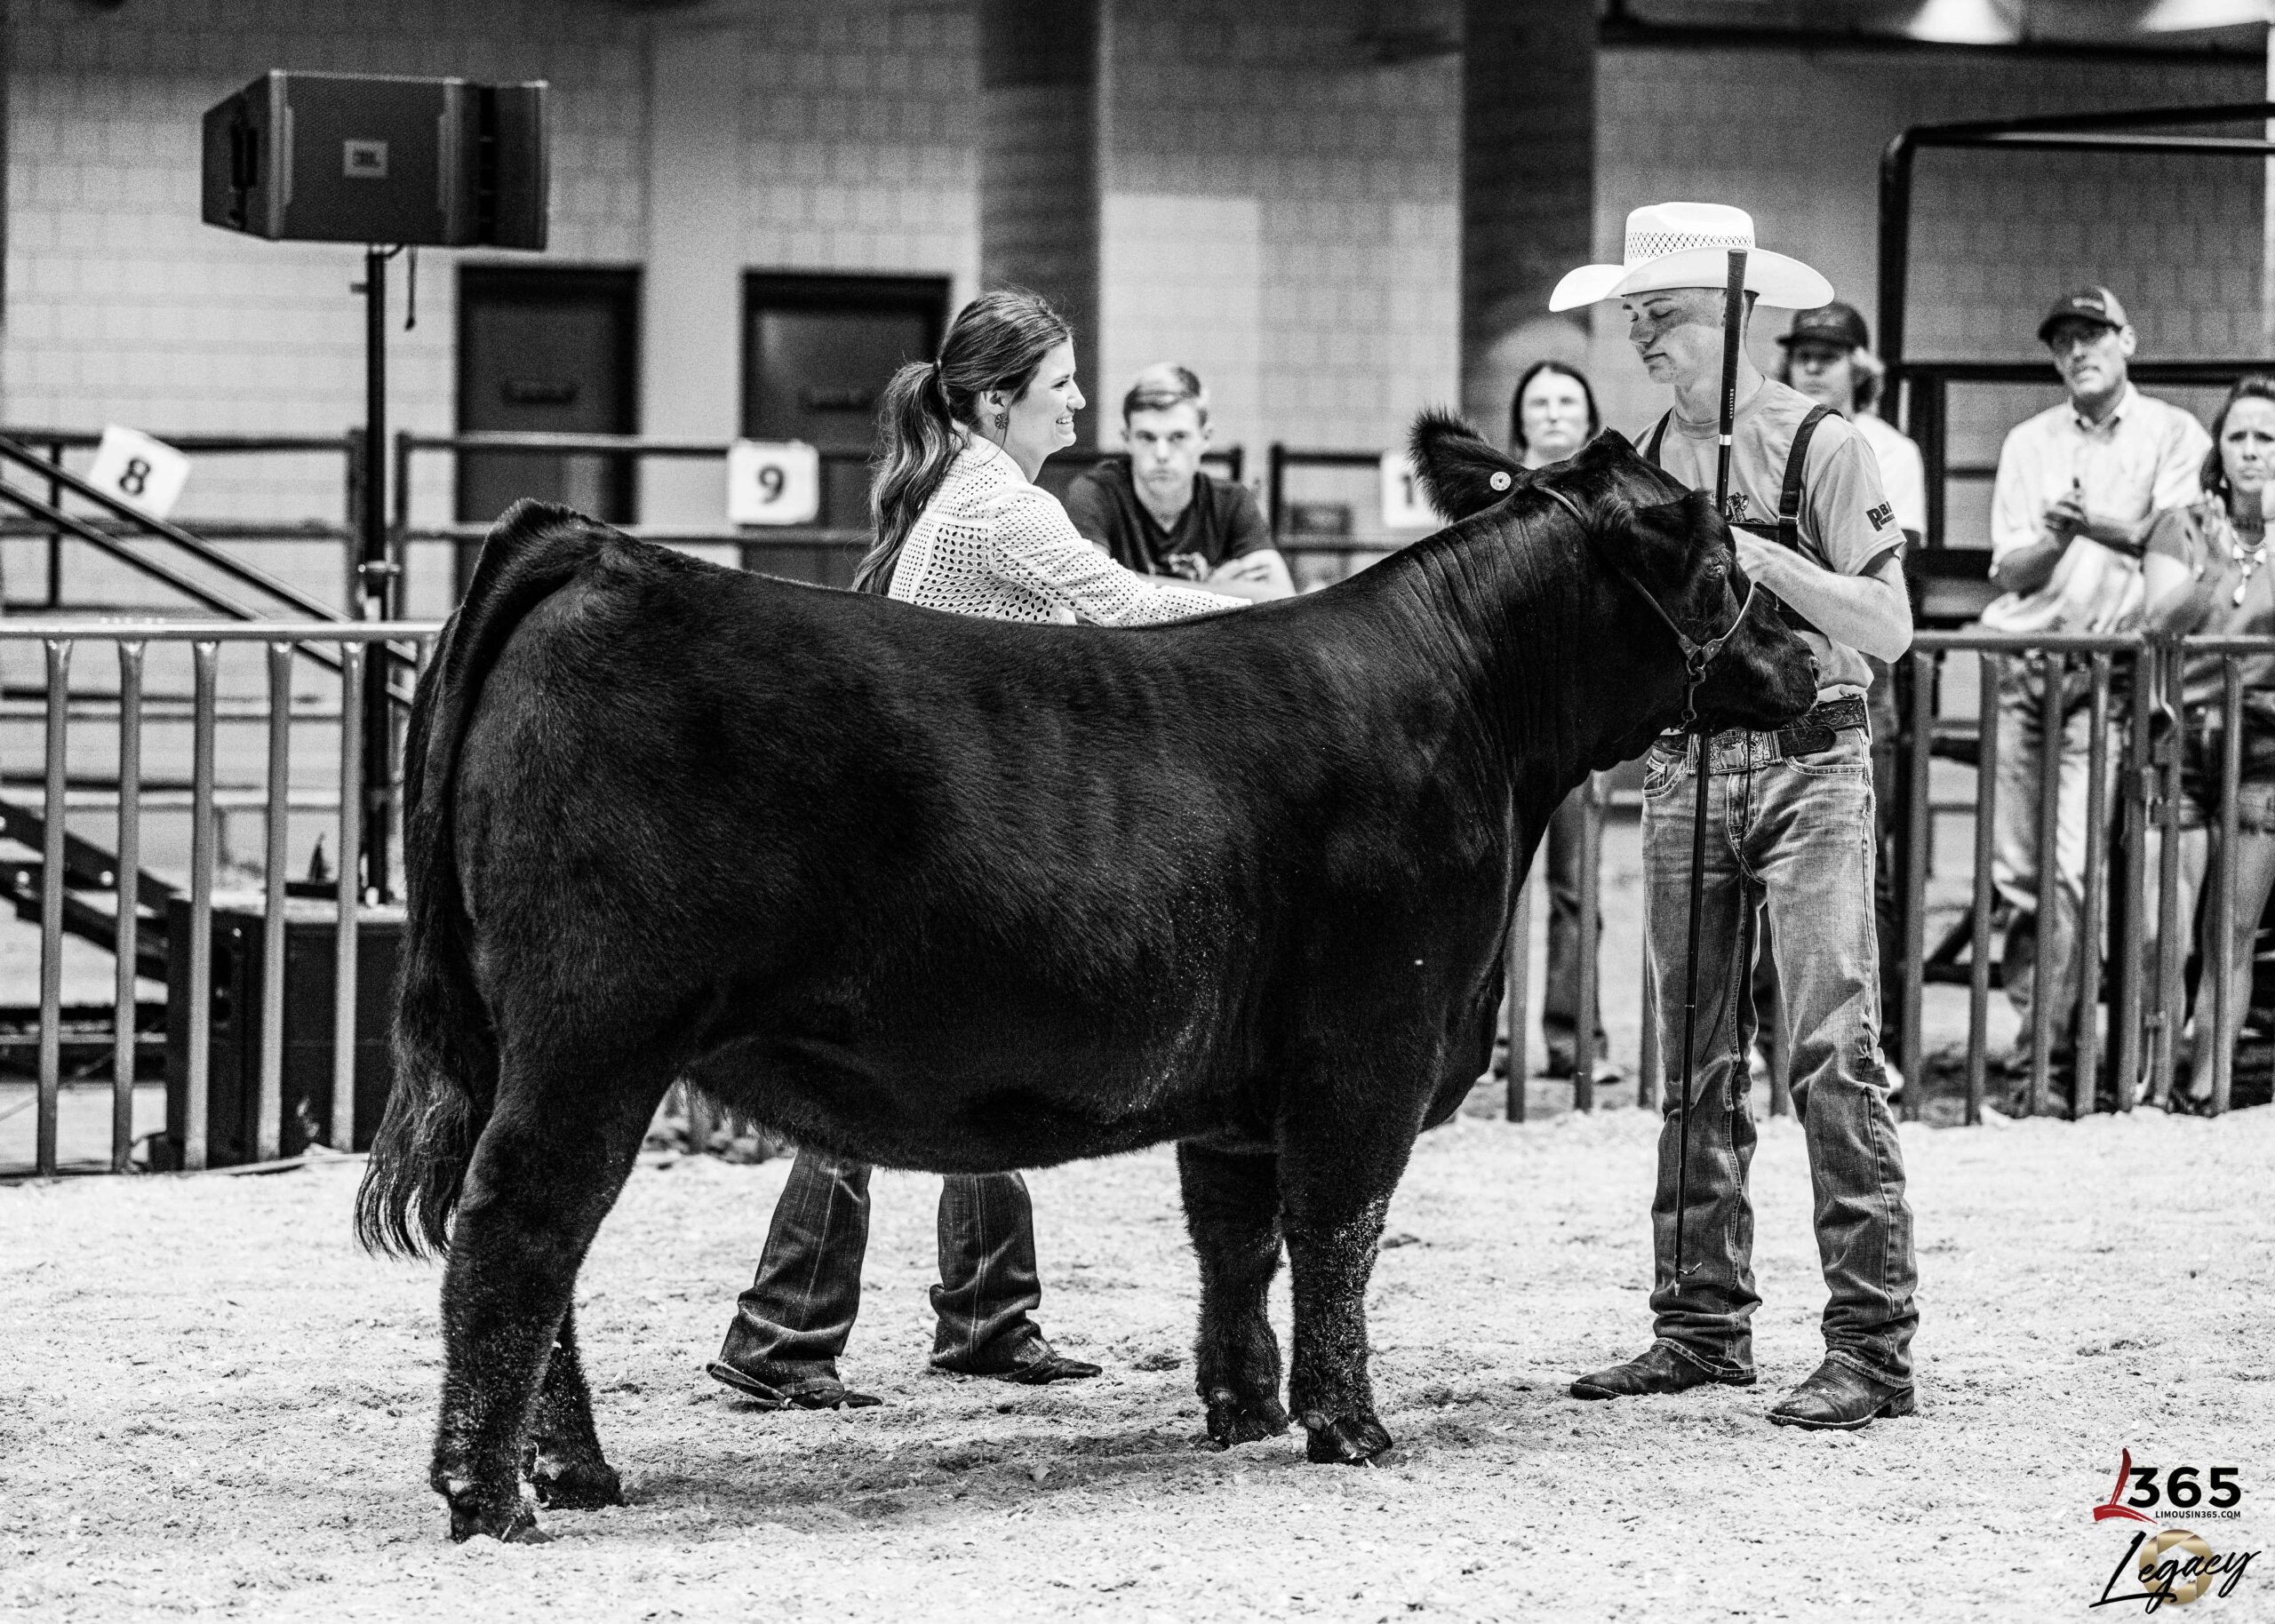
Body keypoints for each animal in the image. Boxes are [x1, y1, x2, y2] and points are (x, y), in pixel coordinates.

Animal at [356, 417, 1816, 1542]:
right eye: (1720, 557)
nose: (1810, 659)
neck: (1475, 711)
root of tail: (595, 547)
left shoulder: (1247, 1077)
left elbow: (1236, 1237)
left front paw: (1245, 1409)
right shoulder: (1374, 1040)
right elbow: (1339, 1230)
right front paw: (1350, 1427)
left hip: (545, 1044)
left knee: (546, 1257)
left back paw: (576, 1473)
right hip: (595, 1032)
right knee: (519, 1228)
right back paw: (492, 1497)